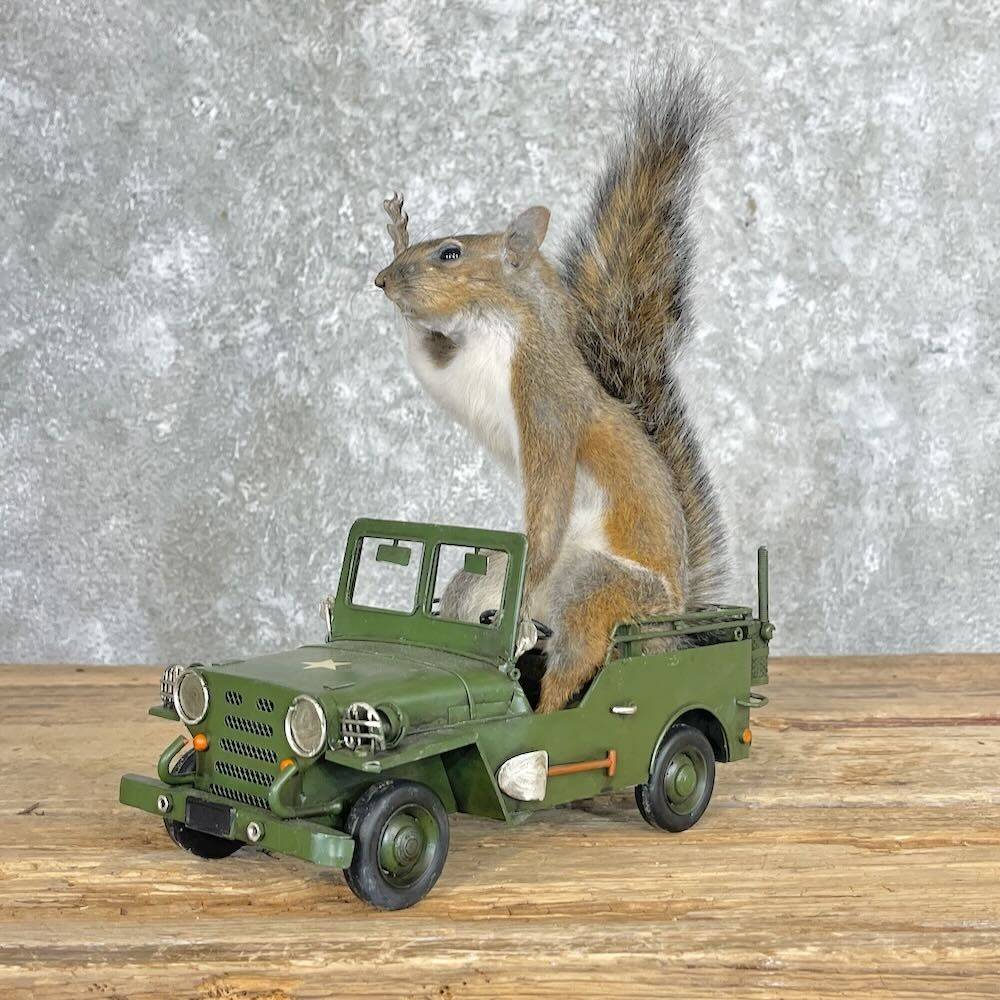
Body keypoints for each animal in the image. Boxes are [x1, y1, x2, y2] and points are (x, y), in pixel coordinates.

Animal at [373, 67, 727, 713]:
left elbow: (549, 497)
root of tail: (668, 628)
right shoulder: (462, 370)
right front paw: (394, 230)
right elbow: (431, 367)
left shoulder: (544, 404)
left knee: (578, 653)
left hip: (599, 587)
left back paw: (544, 707)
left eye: (451, 253)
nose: (383, 280)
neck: (500, 325)